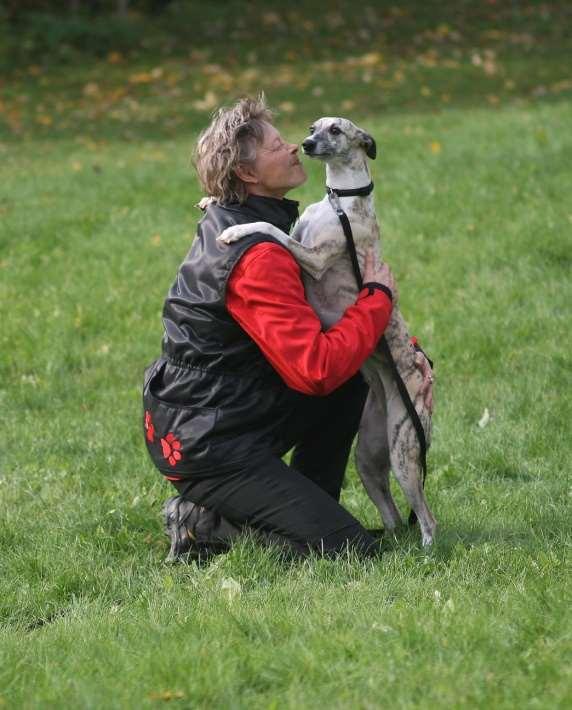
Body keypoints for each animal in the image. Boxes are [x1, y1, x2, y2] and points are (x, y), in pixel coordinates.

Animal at [217, 119, 436, 548]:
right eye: (312, 126)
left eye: (336, 130)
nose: (305, 144)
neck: (339, 203)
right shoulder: (301, 236)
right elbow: (279, 225)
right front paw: (208, 200)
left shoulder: (315, 257)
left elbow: (268, 226)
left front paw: (236, 231)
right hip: (369, 453)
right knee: (392, 516)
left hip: (404, 452)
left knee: (426, 517)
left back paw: (428, 550)